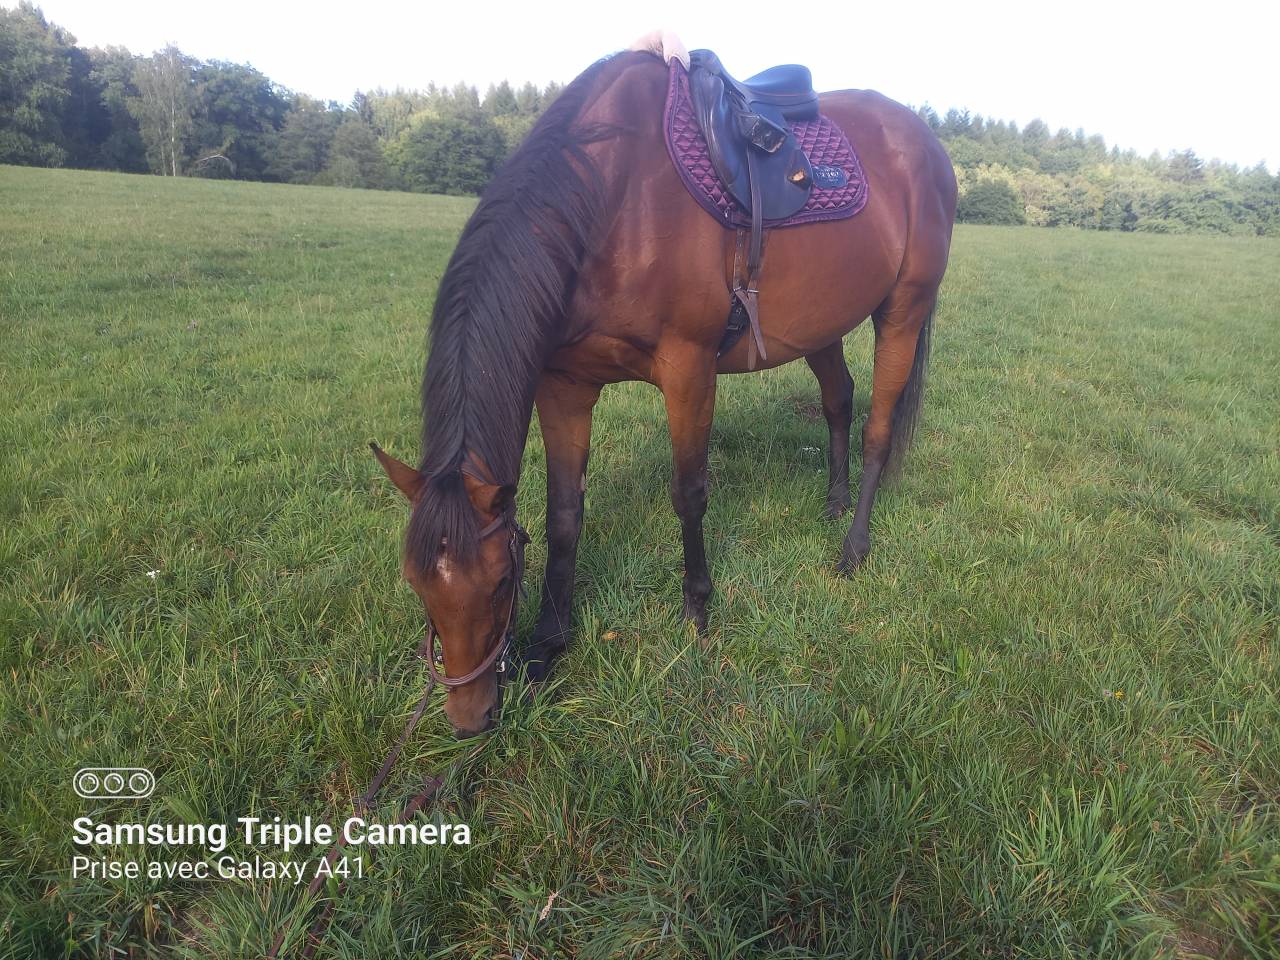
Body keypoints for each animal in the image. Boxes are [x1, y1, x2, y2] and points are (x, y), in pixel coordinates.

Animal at [372, 43, 957, 737]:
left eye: (498, 583)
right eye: (418, 585)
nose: (470, 718)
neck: (610, 200)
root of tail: (922, 137)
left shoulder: (688, 368)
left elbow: (689, 493)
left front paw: (697, 609)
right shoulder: (564, 384)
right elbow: (564, 512)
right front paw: (549, 641)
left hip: (903, 311)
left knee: (877, 428)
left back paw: (853, 547)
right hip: (823, 323)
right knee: (838, 402)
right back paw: (835, 501)